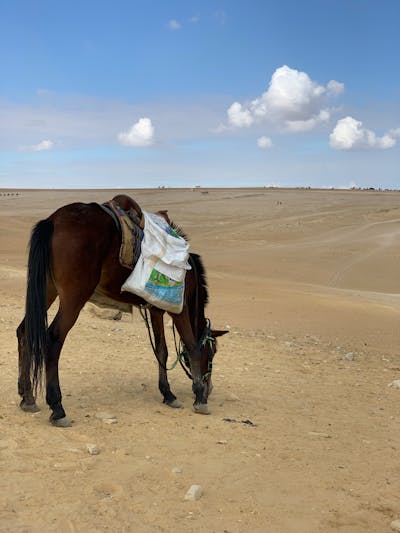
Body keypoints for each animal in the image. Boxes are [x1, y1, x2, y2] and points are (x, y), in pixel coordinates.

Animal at [16, 193, 228, 426]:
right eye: (213, 352)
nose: (210, 388)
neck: (189, 272)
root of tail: (53, 221)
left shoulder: (156, 309)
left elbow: (162, 351)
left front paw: (168, 394)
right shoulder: (178, 308)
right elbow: (192, 346)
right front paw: (199, 398)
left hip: (47, 289)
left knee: (24, 331)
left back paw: (28, 398)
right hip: (74, 296)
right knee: (53, 338)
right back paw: (57, 408)